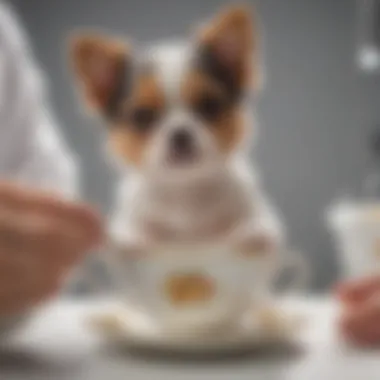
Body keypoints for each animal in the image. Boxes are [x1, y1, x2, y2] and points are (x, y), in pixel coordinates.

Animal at [68, 5, 284, 255]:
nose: (180, 134)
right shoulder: (134, 221)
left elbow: (257, 226)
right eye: (142, 116)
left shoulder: (256, 212)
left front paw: (250, 235)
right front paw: (133, 241)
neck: (184, 192)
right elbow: (133, 233)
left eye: (210, 105)